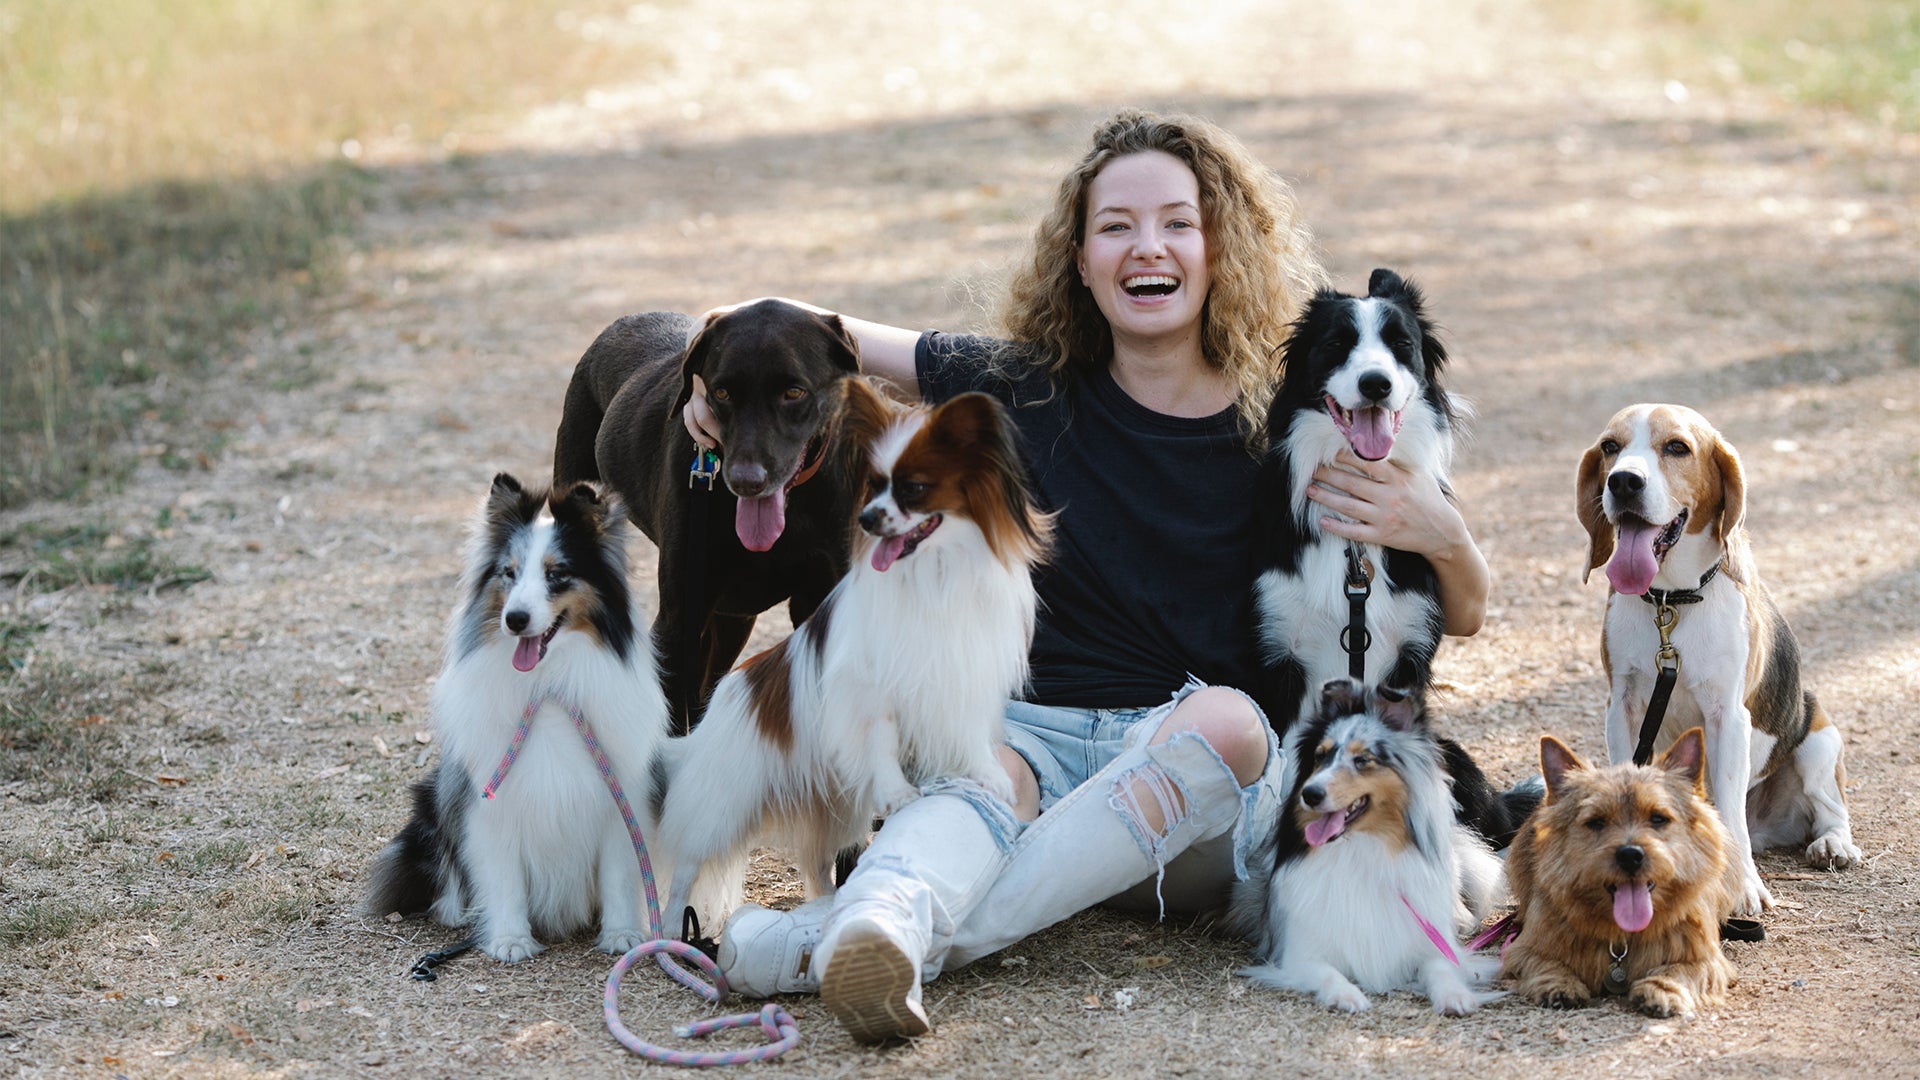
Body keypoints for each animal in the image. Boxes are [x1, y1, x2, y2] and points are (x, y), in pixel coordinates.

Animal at [362, 474, 672, 960]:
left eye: (556, 574)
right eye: (508, 573)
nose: (515, 619)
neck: (546, 688)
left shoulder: (621, 800)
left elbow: (621, 875)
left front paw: (623, 935)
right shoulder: (488, 804)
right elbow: (502, 876)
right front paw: (510, 939)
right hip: (433, 801)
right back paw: (458, 912)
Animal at [652, 378, 1059, 926]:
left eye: (913, 488)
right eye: (873, 484)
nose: (865, 519)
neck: (934, 571)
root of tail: (727, 694)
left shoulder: (962, 673)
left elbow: (969, 733)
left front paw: (988, 776)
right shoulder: (870, 689)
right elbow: (882, 740)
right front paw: (897, 792)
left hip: (833, 810)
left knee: (817, 866)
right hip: (723, 804)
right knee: (687, 868)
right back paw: (672, 925)